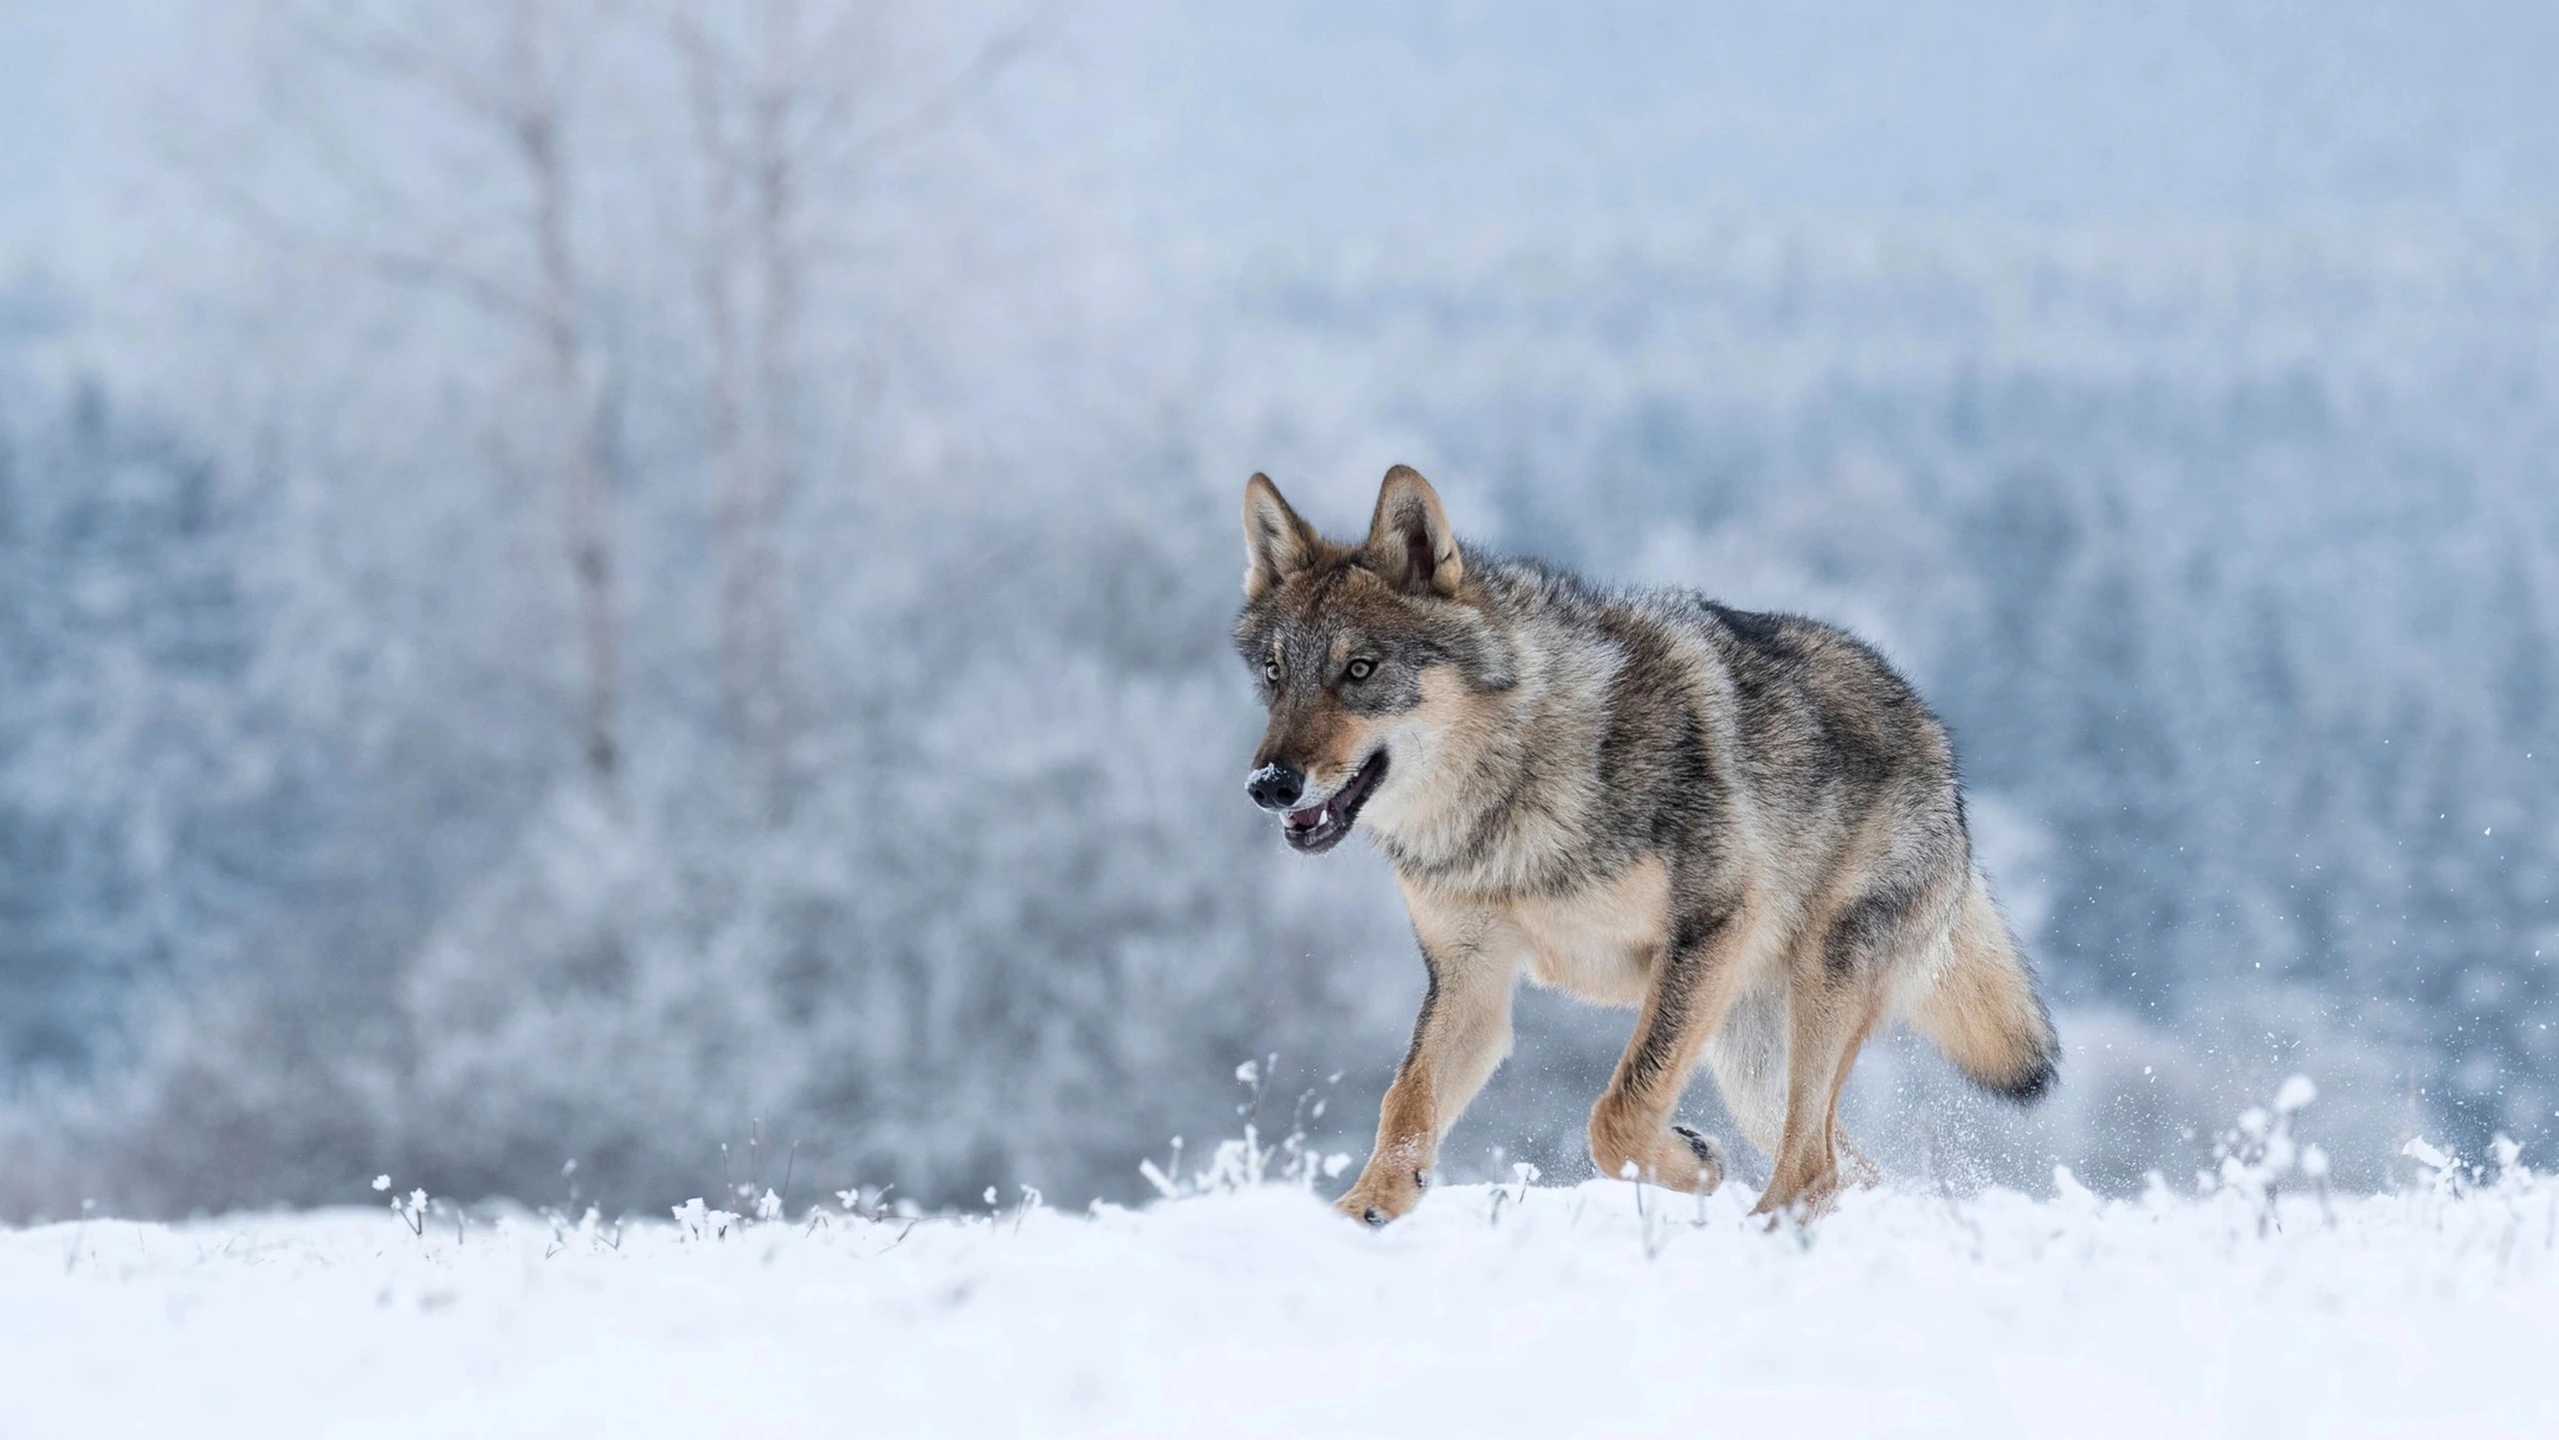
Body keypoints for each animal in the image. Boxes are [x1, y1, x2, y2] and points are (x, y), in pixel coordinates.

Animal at [1238, 468, 2057, 1222]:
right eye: (1275, 674)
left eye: (1360, 670)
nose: (1269, 784)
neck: (1514, 789)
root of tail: (1934, 733)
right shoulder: (1470, 980)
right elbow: (1403, 1101)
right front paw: (1363, 1214)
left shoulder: (1704, 928)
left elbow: (1617, 1115)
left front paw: (1694, 1165)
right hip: (1751, 1066)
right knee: (1850, 1166)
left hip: (1818, 993)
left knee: (1813, 1166)